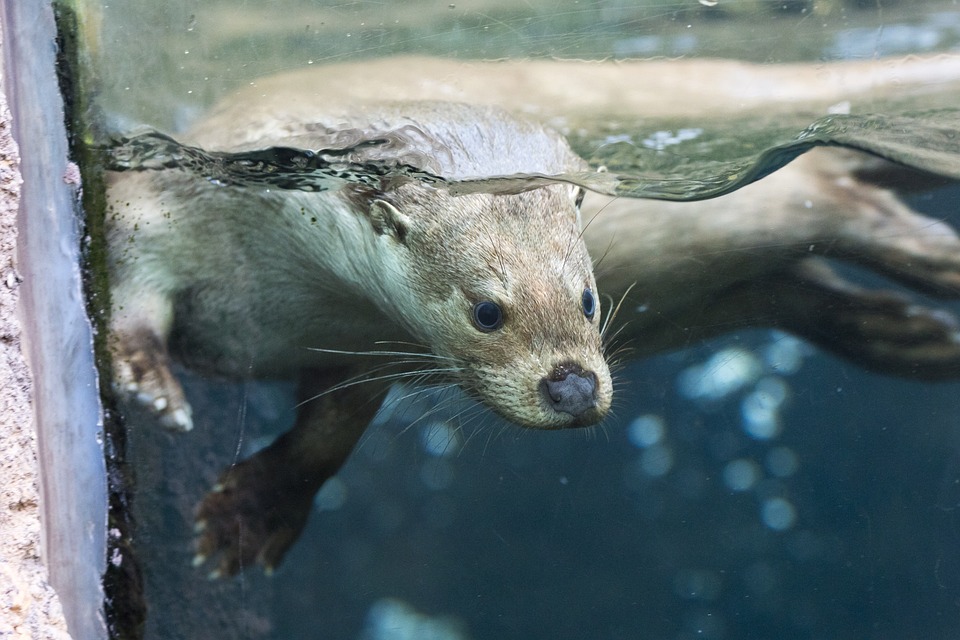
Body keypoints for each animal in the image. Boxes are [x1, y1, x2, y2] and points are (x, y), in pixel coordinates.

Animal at [105, 56, 960, 576]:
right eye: (487, 311)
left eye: (587, 299)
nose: (574, 387)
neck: (287, 292)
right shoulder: (151, 206)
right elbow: (128, 297)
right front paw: (151, 383)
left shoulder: (361, 348)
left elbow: (325, 442)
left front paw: (252, 515)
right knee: (805, 273)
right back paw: (910, 333)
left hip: (760, 202)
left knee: (842, 194)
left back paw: (933, 269)